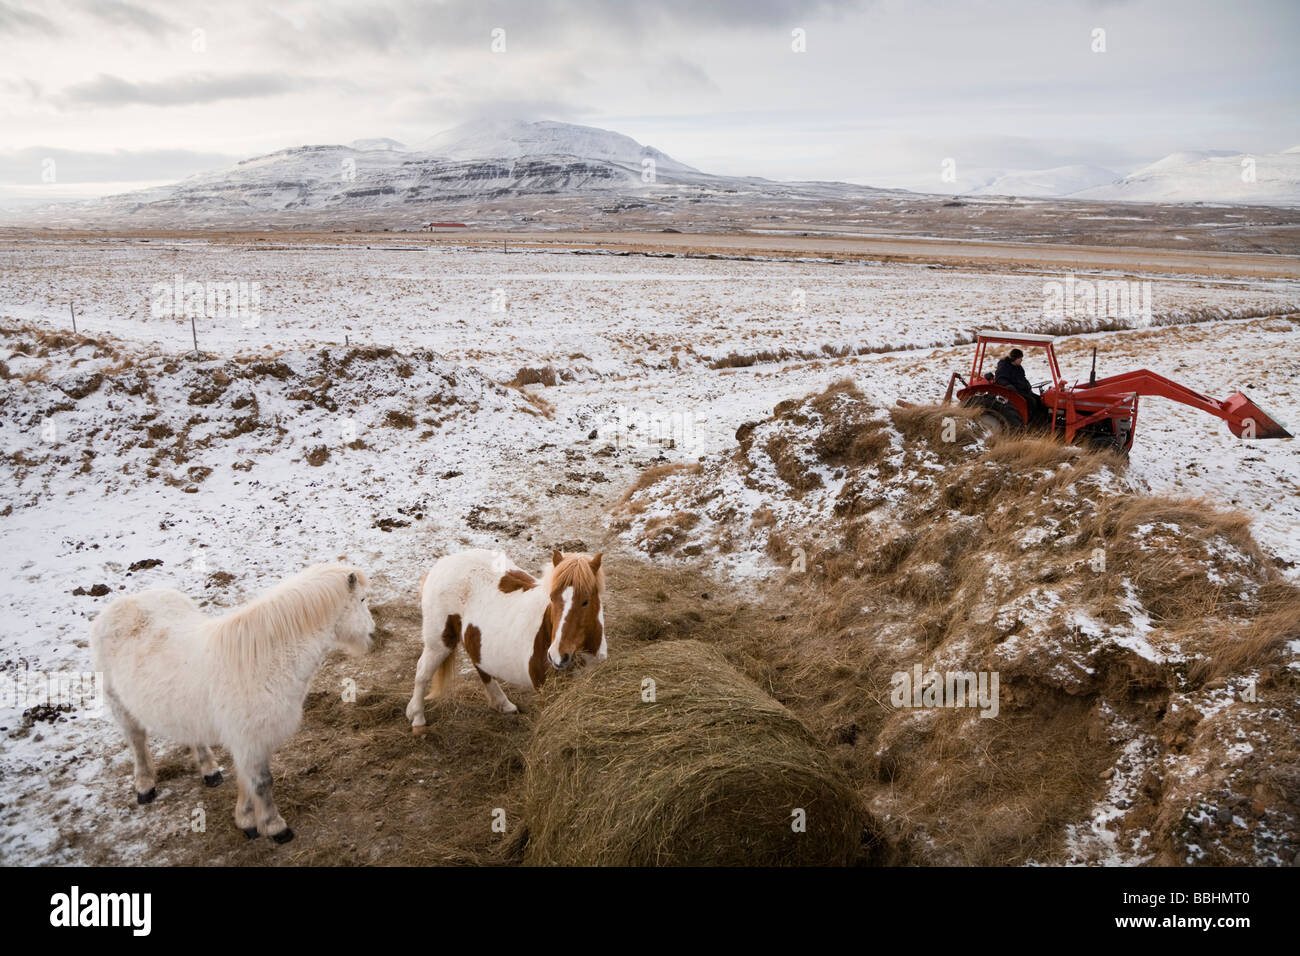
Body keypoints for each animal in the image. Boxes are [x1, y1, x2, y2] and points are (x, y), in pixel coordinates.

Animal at [89, 561, 374, 842]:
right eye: (362, 599)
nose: (372, 632)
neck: (264, 662)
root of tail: (125, 602)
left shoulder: (251, 740)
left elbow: (247, 780)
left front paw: (247, 821)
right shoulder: (249, 739)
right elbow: (261, 782)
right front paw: (274, 827)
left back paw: (210, 771)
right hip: (120, 704)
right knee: (136, 741)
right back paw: (145, 786)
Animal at [405, 546, 603, 733]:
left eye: (585, 601)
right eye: (552, 598)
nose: (557, 657)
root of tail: (441, 564)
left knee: (479, 665)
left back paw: (503, 704)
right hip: (439, 642)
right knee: (422, 672)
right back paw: (417, 719)